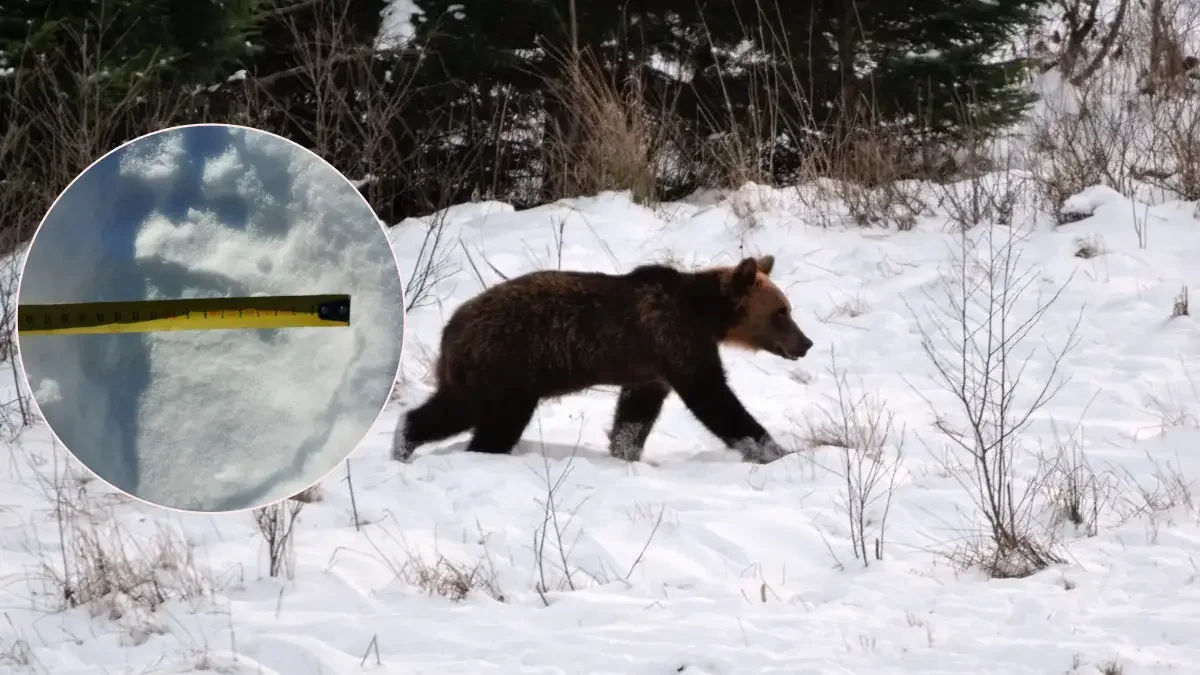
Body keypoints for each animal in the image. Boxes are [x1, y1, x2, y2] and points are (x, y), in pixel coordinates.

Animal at [393, 252, 816, 461]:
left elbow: (634, 417)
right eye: (782, 311)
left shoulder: (650, 370)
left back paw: (403, 441)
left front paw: (624, 452)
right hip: (506, 366)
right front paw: (776, 450)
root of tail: (450, 328)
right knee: (496, 421)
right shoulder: (675, 341)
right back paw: (484, 453)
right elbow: (716, 400)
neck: (705, 314)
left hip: (475, 373)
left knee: (450, 409)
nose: (806, 343)